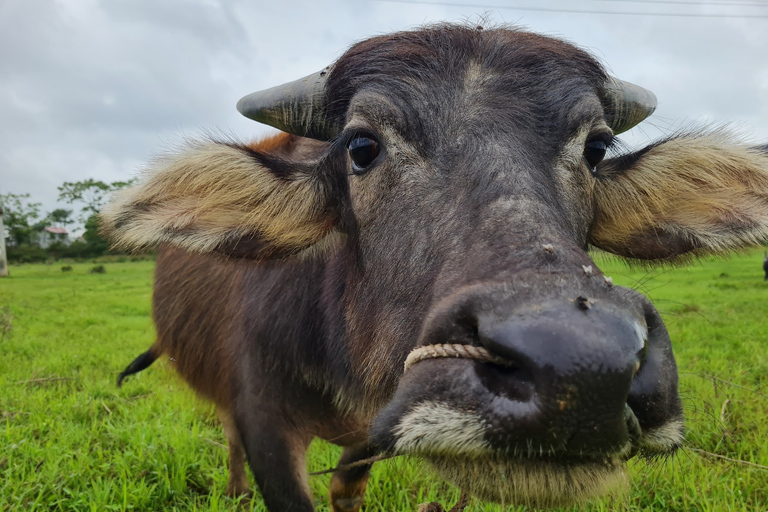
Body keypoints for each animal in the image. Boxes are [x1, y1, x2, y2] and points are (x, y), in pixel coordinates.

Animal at [105, 23, 768, 512]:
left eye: (597, 148)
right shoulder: (262, 417)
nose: (583, 371)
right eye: (361, 147)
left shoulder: (370, 430)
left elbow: (346, 486)